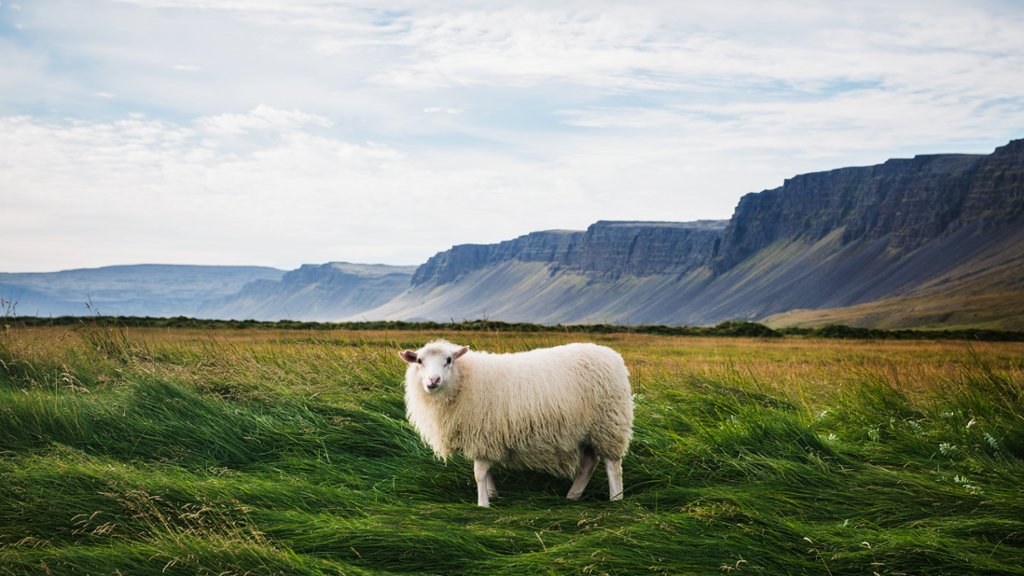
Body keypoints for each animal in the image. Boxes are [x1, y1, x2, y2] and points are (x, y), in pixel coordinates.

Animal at [399, 339, 633, 507]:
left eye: (448, 360)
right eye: (419, 361)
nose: (433, 380)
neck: (464, 379)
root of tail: (612, 356)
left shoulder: (483, 431)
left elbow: (479, 473)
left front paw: (482, 504)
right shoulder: (480, 436)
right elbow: (485, 472)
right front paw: (492, 494)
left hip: (609, 424)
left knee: (612, 465)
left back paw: (616, 500)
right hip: (588, 430)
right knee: (589, 463)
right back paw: (572, 496)